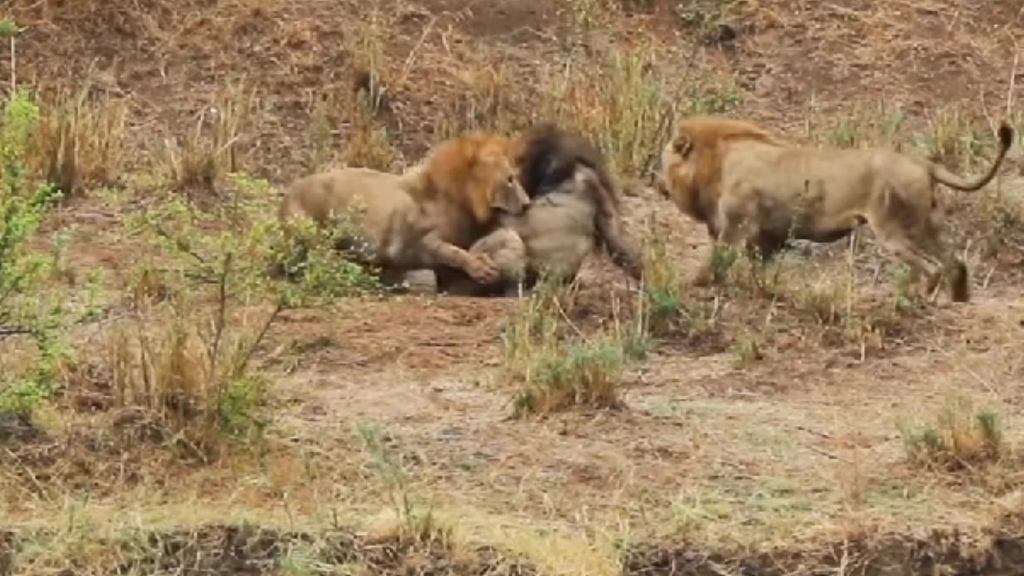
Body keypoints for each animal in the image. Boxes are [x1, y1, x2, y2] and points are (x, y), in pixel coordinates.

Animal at [651, 112, 1011, 301]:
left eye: (663, 160)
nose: (656, 182)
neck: (717, 162)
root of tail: (923, 163)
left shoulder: (735, 226)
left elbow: (716, 260)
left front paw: (697, 284)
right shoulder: (767, 236)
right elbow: (760, 269)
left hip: (893, 228)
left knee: (933, 268)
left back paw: (916, 298)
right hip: (929, 225)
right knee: (955, 263)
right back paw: (959, 298)